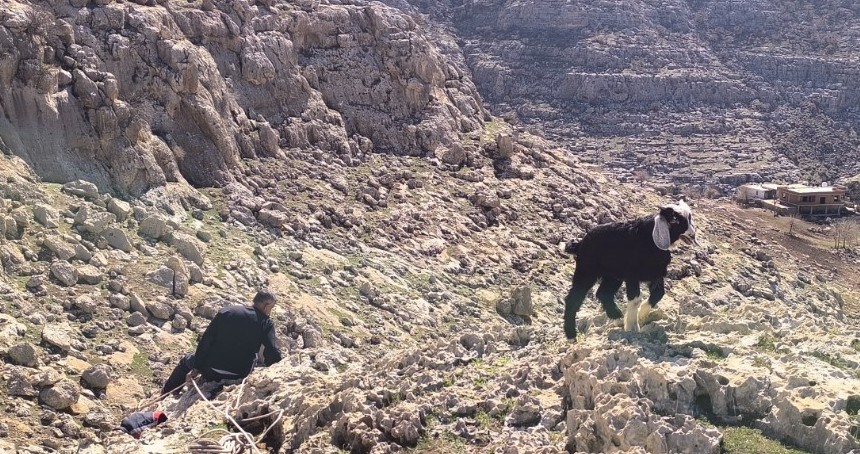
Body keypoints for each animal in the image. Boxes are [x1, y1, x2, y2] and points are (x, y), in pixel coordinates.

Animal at [560, 200, 696, 338]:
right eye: (675, 220)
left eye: (689, 218)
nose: (692, 234)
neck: (650, 240)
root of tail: (580, 243)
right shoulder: (632, 275)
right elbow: (636, 299)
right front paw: (632, 326)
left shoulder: (655, 274)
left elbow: (658, 293)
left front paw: (640, 316)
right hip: (586, 270)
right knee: (574, 297)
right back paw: (571, 334)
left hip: (613, 276)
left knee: (603, 293)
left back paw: (618, 317)